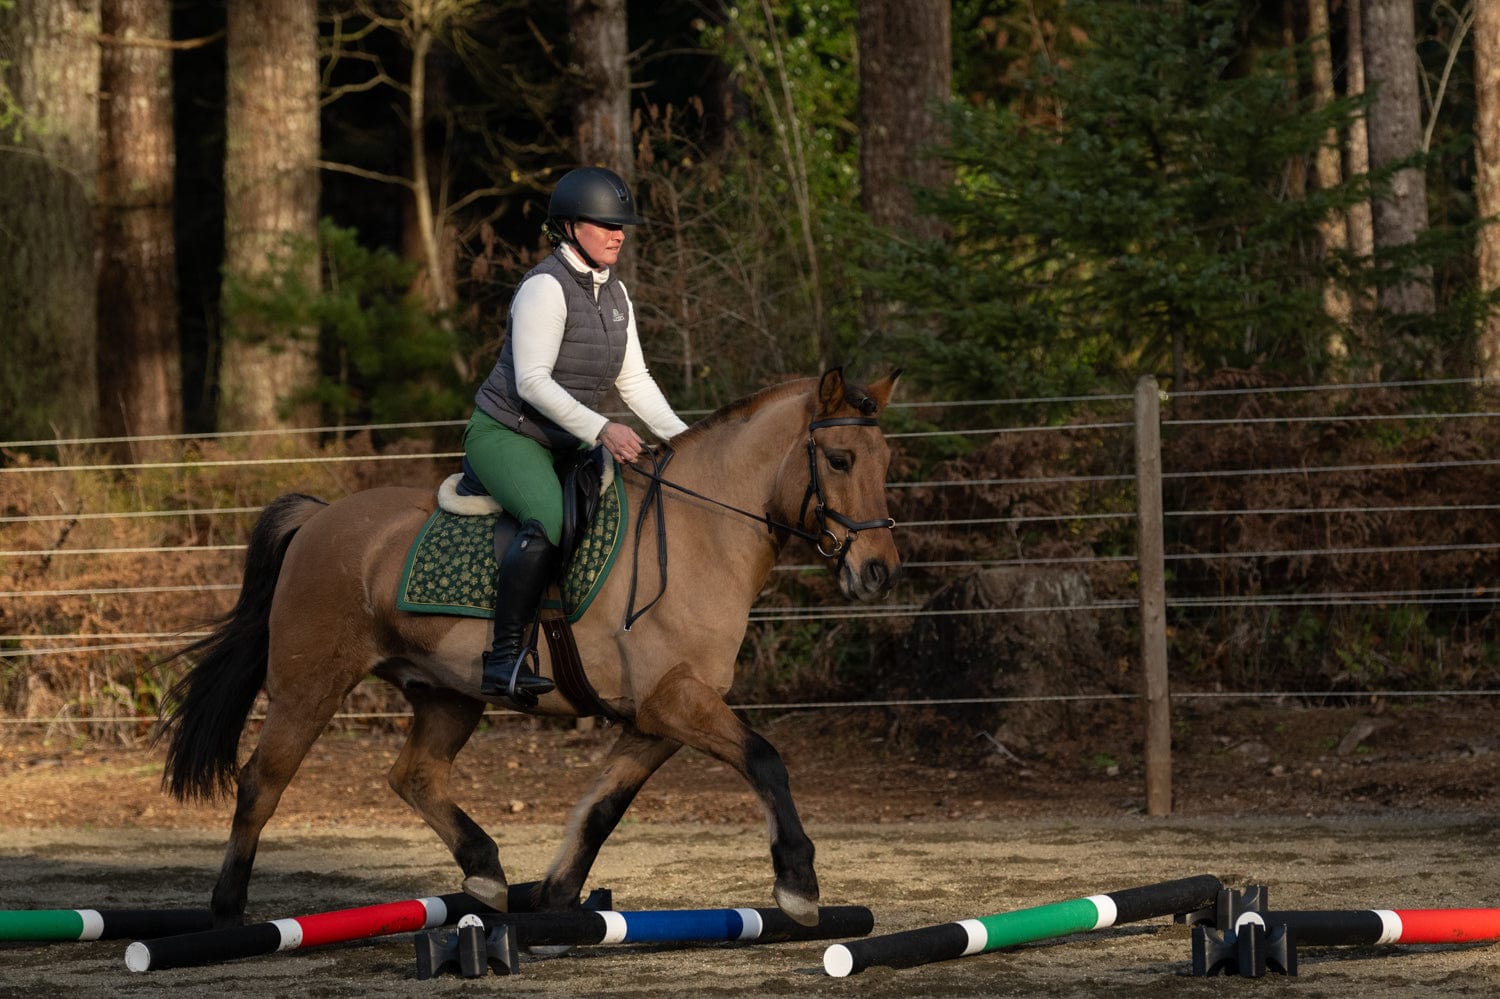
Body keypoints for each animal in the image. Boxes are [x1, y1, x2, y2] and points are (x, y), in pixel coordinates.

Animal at [161, 366, 900, 924]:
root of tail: (319, 516)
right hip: (310, 684)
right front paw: (798, 884)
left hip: (449, 692)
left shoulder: (657, 718)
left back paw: (487, 875)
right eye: (839, 460)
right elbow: (766, 760)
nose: (878, 571)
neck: (700, 533)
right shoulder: (676, 703)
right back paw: (227, 909)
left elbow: (602, 808)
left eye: (886, 463)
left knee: (414, 776)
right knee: (262, 781)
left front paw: (554, 896)